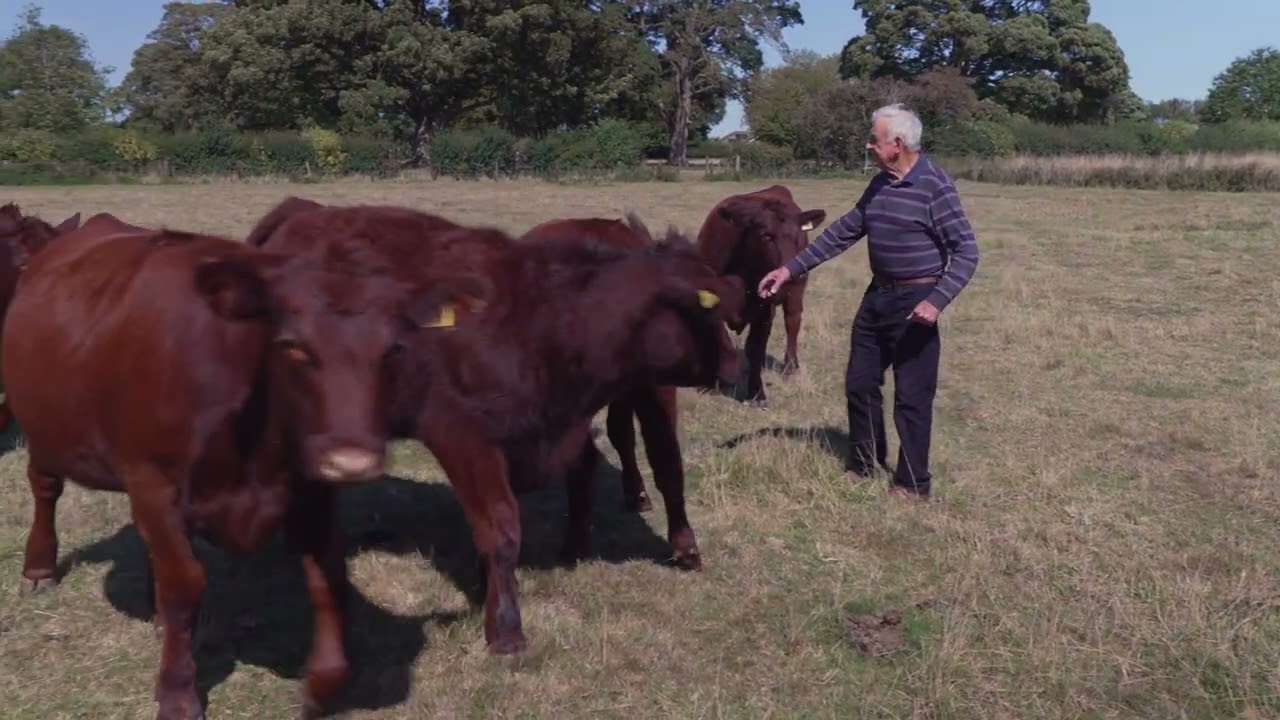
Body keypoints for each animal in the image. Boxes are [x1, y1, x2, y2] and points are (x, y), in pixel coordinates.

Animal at [244, 198, 745, 656]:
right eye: (706, 311)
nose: (739, 371)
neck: (544, 320)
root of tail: (301, 209)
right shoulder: (463, 435)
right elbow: (501, 529)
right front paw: (505, 628)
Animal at [697, 185, 827, 408]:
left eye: (797, 236)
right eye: (766, 236)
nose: (793, 274)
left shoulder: (765, 311)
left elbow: (755, 348)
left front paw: (756, 394)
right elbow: (721, 340)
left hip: (795, 296)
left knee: (792, 322)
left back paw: (790, 368)